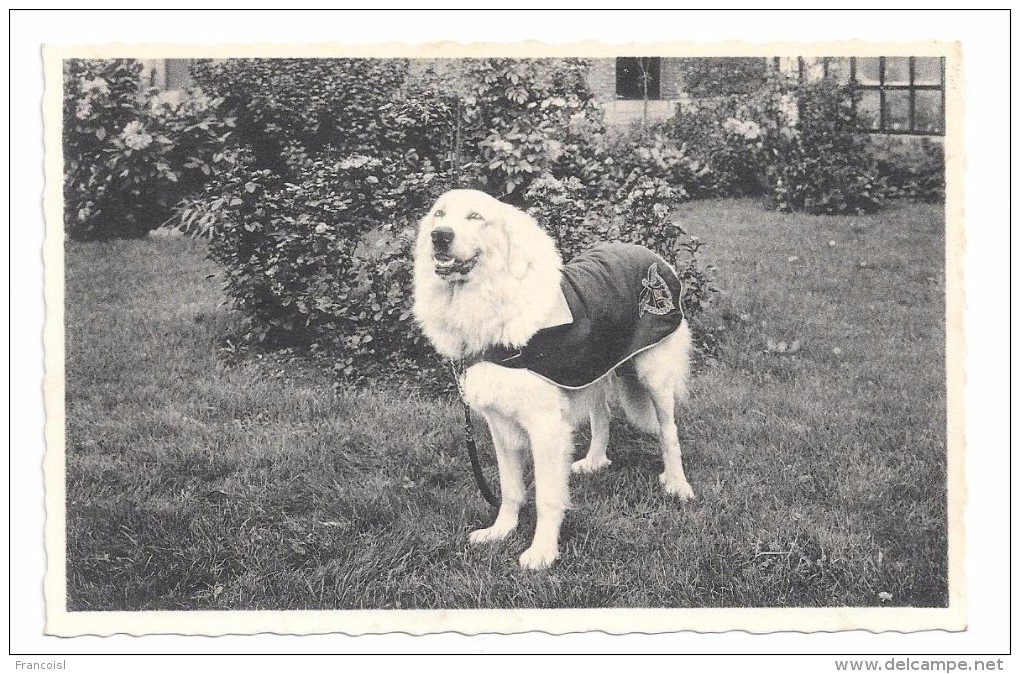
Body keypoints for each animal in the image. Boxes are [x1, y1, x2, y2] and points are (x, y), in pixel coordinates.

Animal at [412, 187, 693, 566]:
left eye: (475, 217)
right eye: (439, 215)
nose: (439, 236)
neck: (492, 301)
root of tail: (652, 255)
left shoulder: (544, 427)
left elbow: (546, 496)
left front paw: (543, 552)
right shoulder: (501, 426)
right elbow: (510, 489)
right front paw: (500, 531)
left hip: (654, 376)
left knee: (668, 432)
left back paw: (677, 484)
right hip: (591, 368)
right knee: (602, 416)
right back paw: (594, 462)